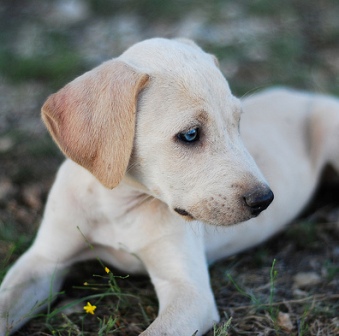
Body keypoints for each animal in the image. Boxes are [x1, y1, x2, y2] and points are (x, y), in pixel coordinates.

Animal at [0, 38, 339, 334]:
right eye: (190, 134)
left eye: (237, 123)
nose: (264, 200)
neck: (118, 206)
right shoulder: (43, 261)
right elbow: (6, 305)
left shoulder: (189, 292)